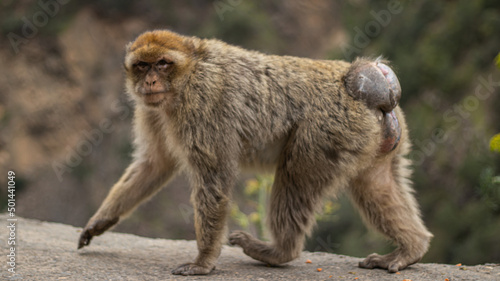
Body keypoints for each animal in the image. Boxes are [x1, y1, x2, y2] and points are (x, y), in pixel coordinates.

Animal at [77, 29, 430, 274]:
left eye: (162, 64)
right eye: (142, 65)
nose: (150, 81)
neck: (188, 75)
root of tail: (354, 82)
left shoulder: (202, 105)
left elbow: (214, 176)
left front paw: (204, 261)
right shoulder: (152, 111)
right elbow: (154, 164)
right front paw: (100, 220)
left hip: (327, 132)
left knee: (296, 177)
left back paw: (278, 252)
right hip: (375, 136)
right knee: (375, 184)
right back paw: (411, 248)